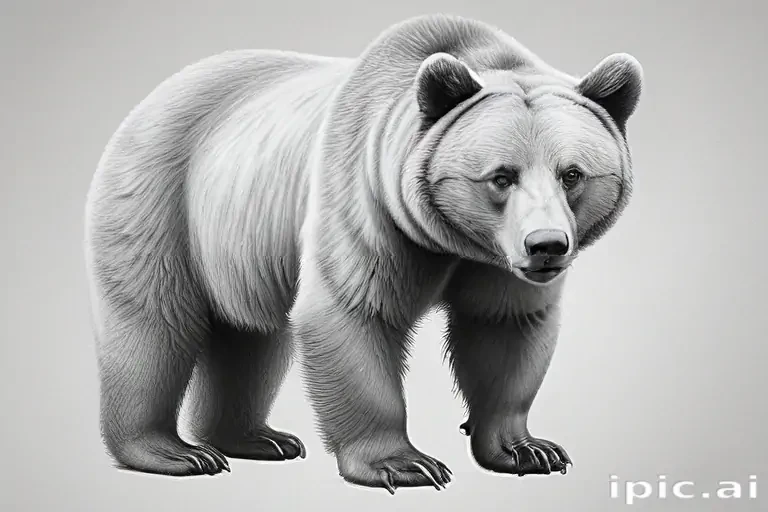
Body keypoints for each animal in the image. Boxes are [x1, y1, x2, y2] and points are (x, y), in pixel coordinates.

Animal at [84, 13, 642, 492]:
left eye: (572, 173)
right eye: (501, 176)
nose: (546, 245)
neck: (454, 241)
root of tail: (157, 95)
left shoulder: (496, 266)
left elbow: (503, 328)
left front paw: (528, 449)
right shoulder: (365, 199)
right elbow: (354, 313)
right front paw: (404, 464)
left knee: (250, 335)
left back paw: (256, 439)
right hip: (163, 198)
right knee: (154, 322)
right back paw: (172, 452)